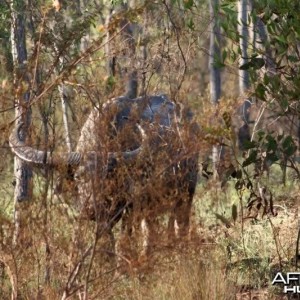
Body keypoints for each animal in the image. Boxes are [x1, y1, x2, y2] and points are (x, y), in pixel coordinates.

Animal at [9, 95, 200, 256]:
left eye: (107, 177)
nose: (91, 209)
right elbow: (106, 242)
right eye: (78, 178)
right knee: (151, 234)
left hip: (186, 193)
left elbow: (123, 242)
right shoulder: (105, 218)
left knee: (180, 226)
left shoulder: (131, 207)